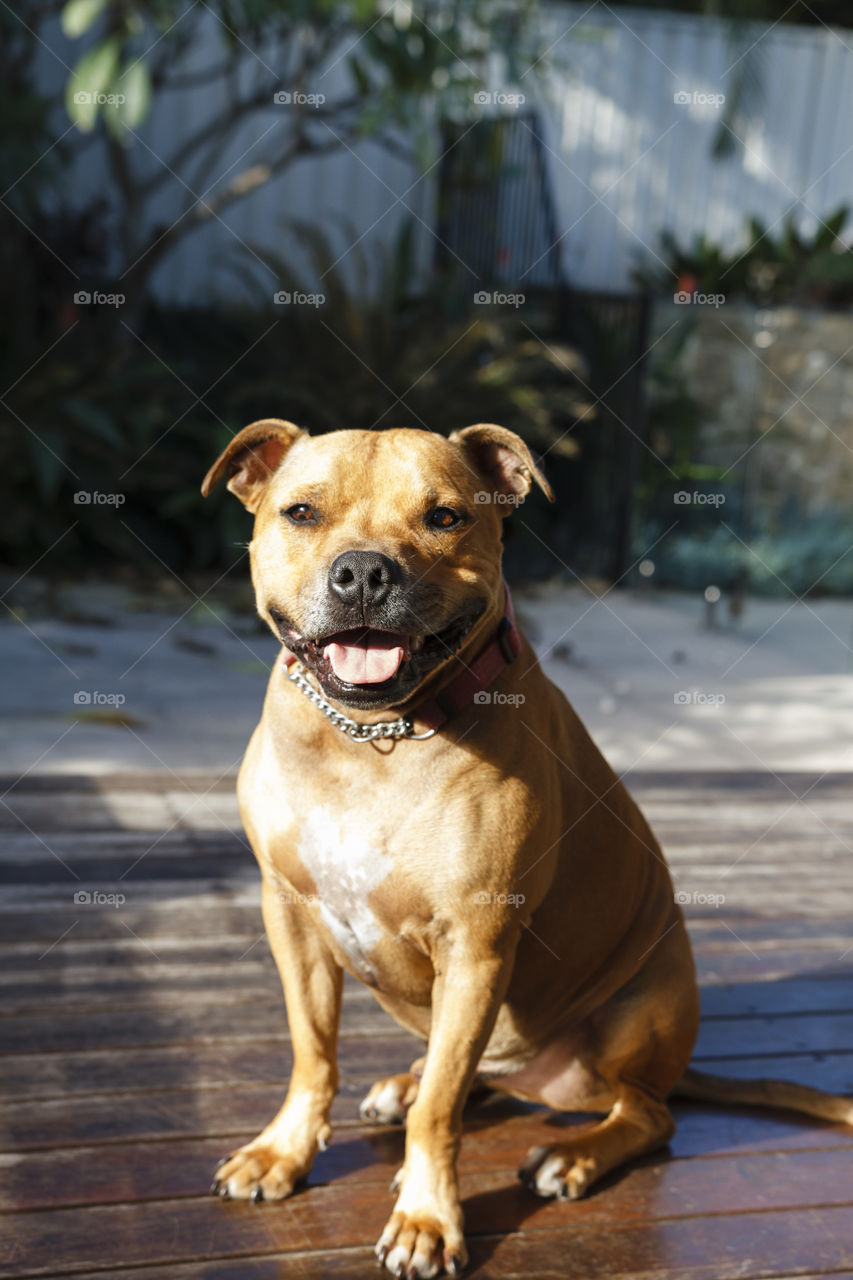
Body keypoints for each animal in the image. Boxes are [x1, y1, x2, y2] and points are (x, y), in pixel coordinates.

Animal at [201, 422, 850, 1280]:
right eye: (301, 512)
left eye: (444, 517)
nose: (365, 571)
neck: (370, 738)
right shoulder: (292, 917)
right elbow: (314, 1053)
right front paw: (284, 1152)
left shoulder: (476, 945)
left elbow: (441, 1112)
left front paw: (426, 1218)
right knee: (471, 1072)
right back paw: (407, 1084)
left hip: (635, 1009)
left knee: (645, 1113)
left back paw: (574, 1154)